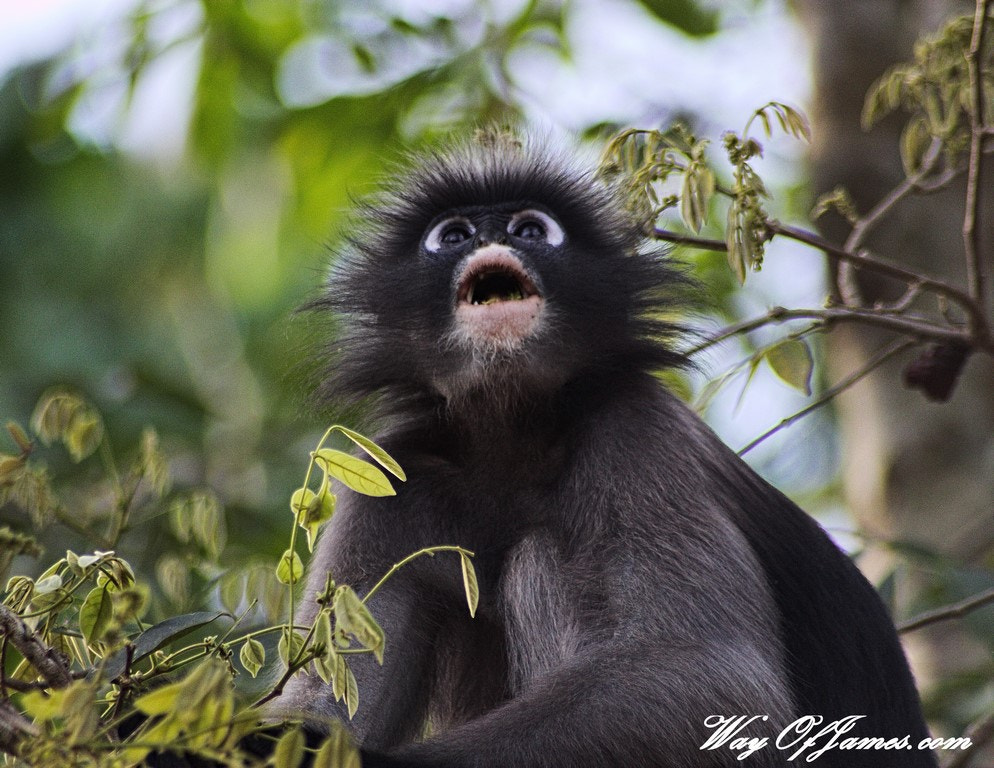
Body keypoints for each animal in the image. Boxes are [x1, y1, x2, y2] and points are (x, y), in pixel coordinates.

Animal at [271, 134, 937, 768]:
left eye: (530, 230)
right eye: (453, 235)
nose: (488, 237)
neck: (512, 438)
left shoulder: (633, 428)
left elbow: (718, 680)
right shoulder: (394, 481)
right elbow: (328, 699)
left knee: (541, 560)